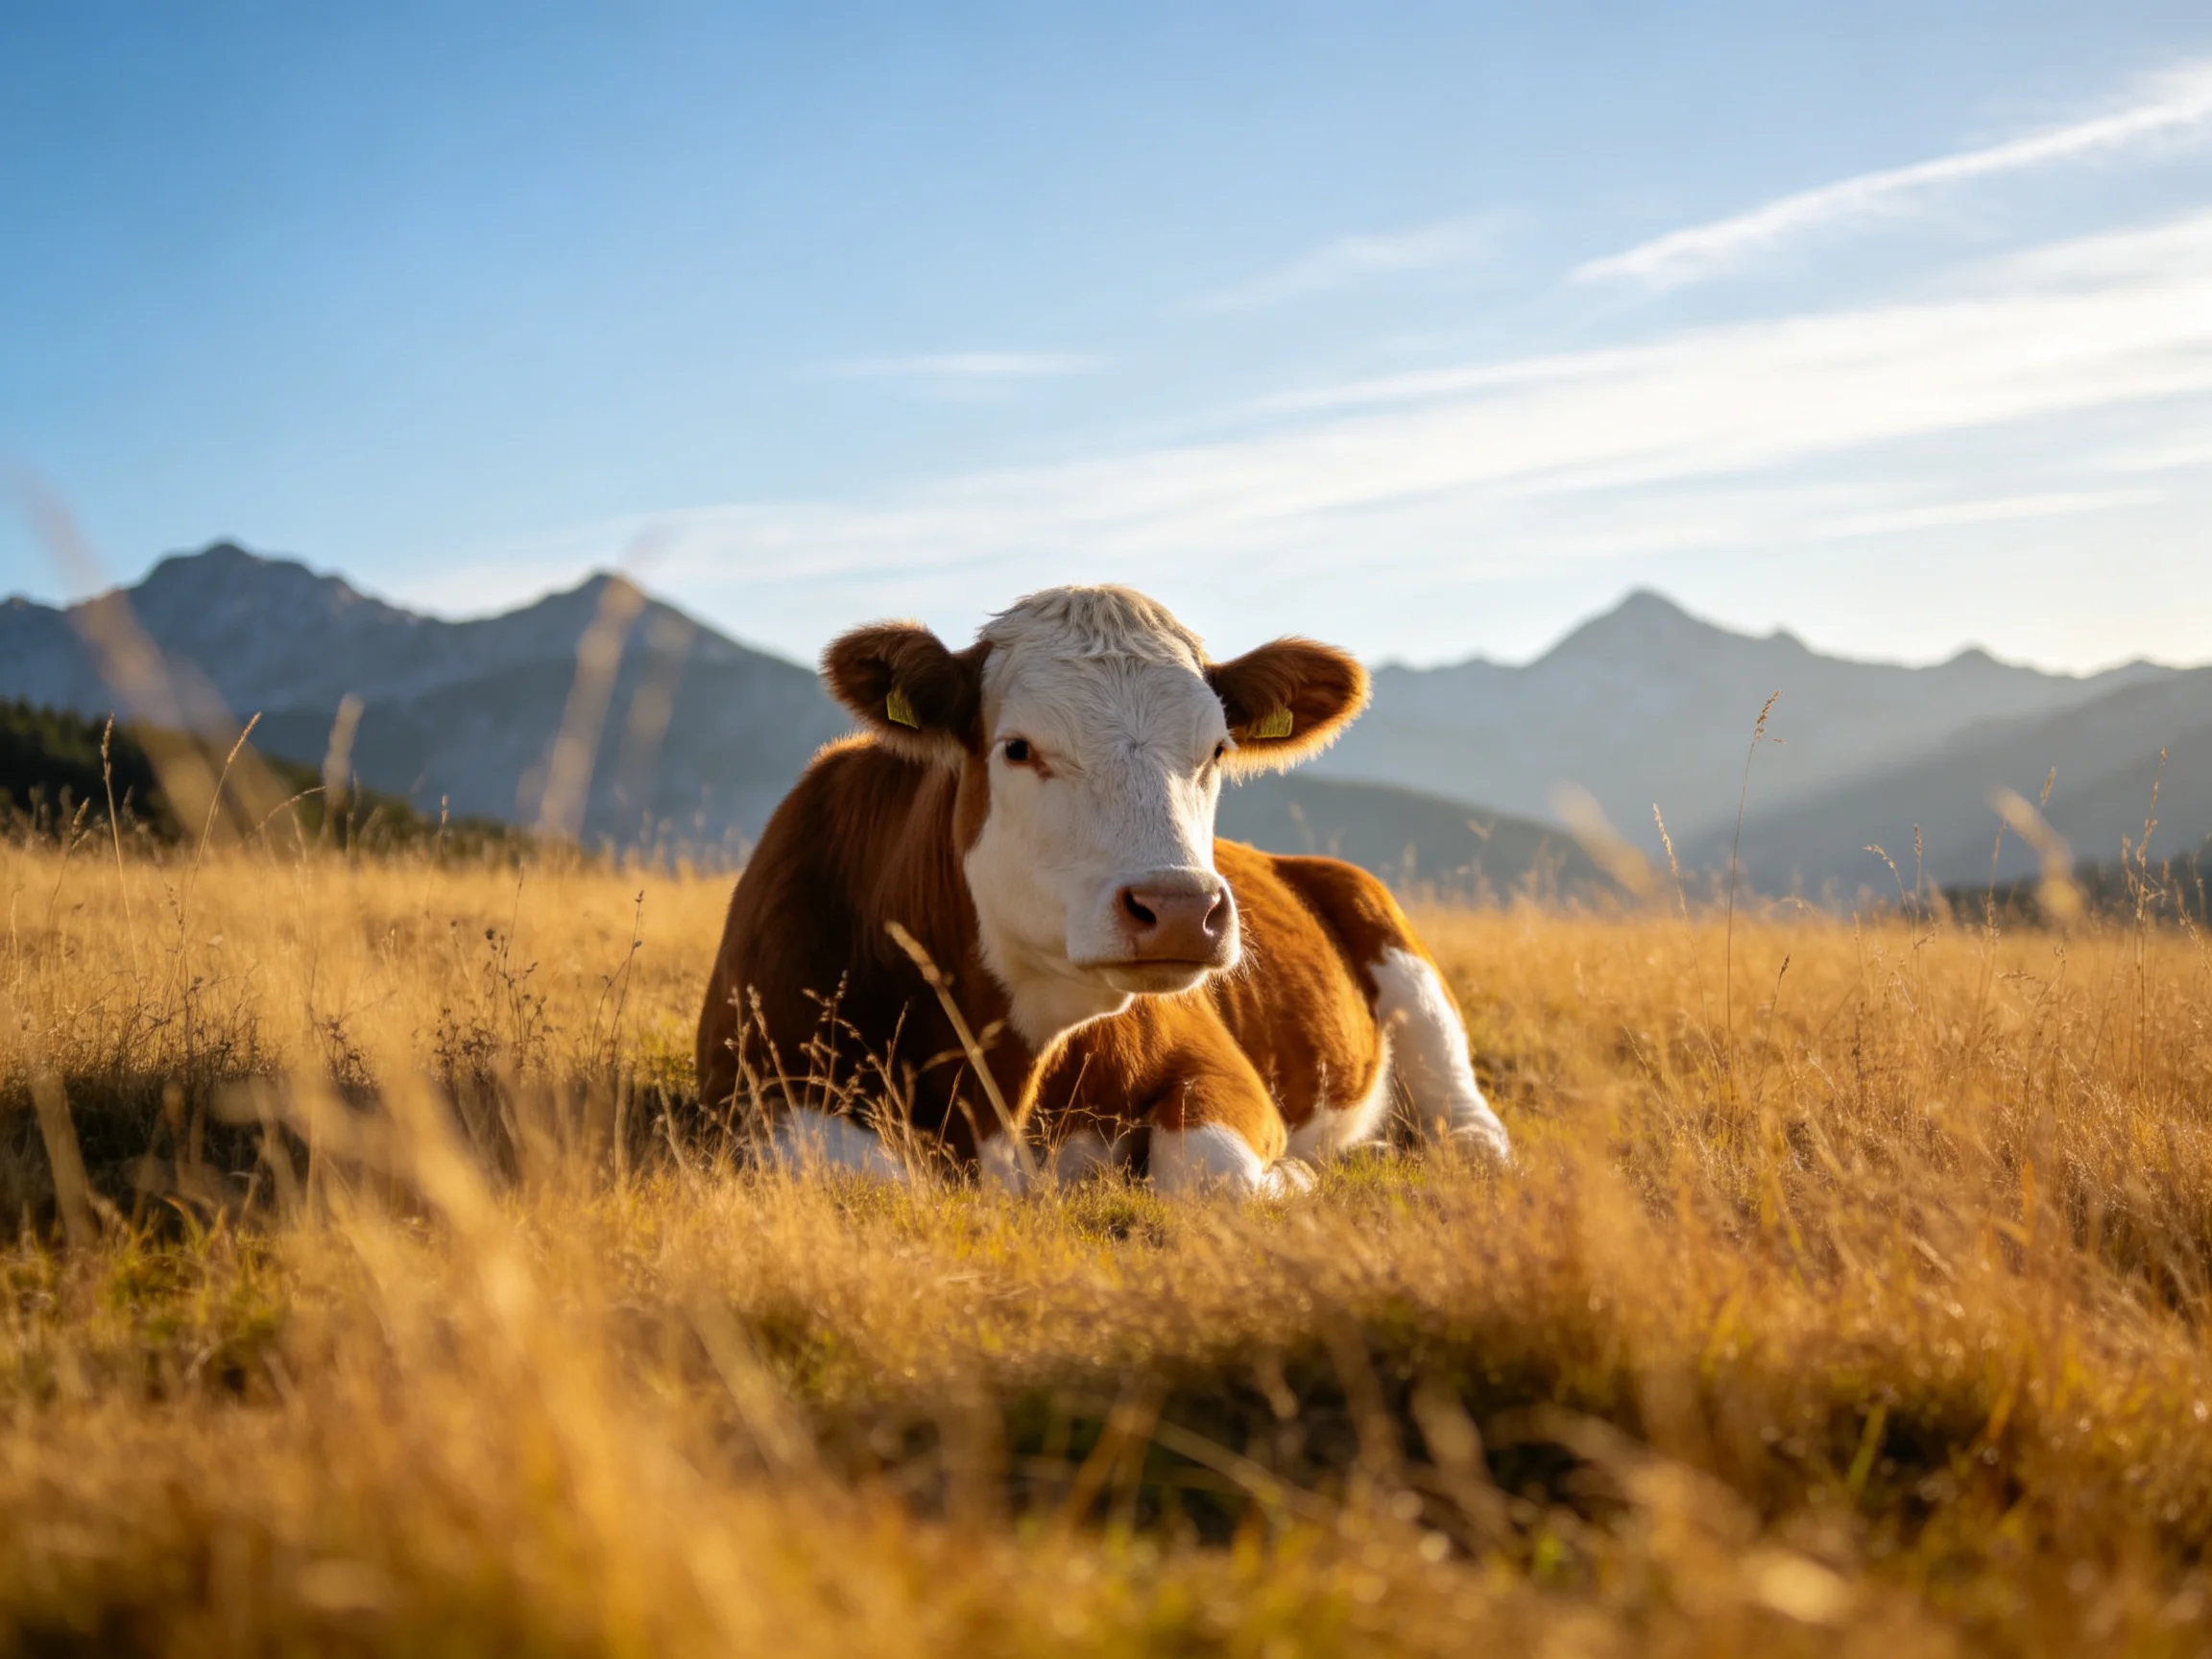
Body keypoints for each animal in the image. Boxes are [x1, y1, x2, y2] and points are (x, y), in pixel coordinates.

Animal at [695, 586, 1510, 1197]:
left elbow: (1209, 1173)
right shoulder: (755, 1085)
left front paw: (1298, 1176)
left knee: (1467, 1123)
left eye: (1217, 749)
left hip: (1405, 965)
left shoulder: (1220, 1068)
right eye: (1017, 748)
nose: (1181, 910)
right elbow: (868, 1175)